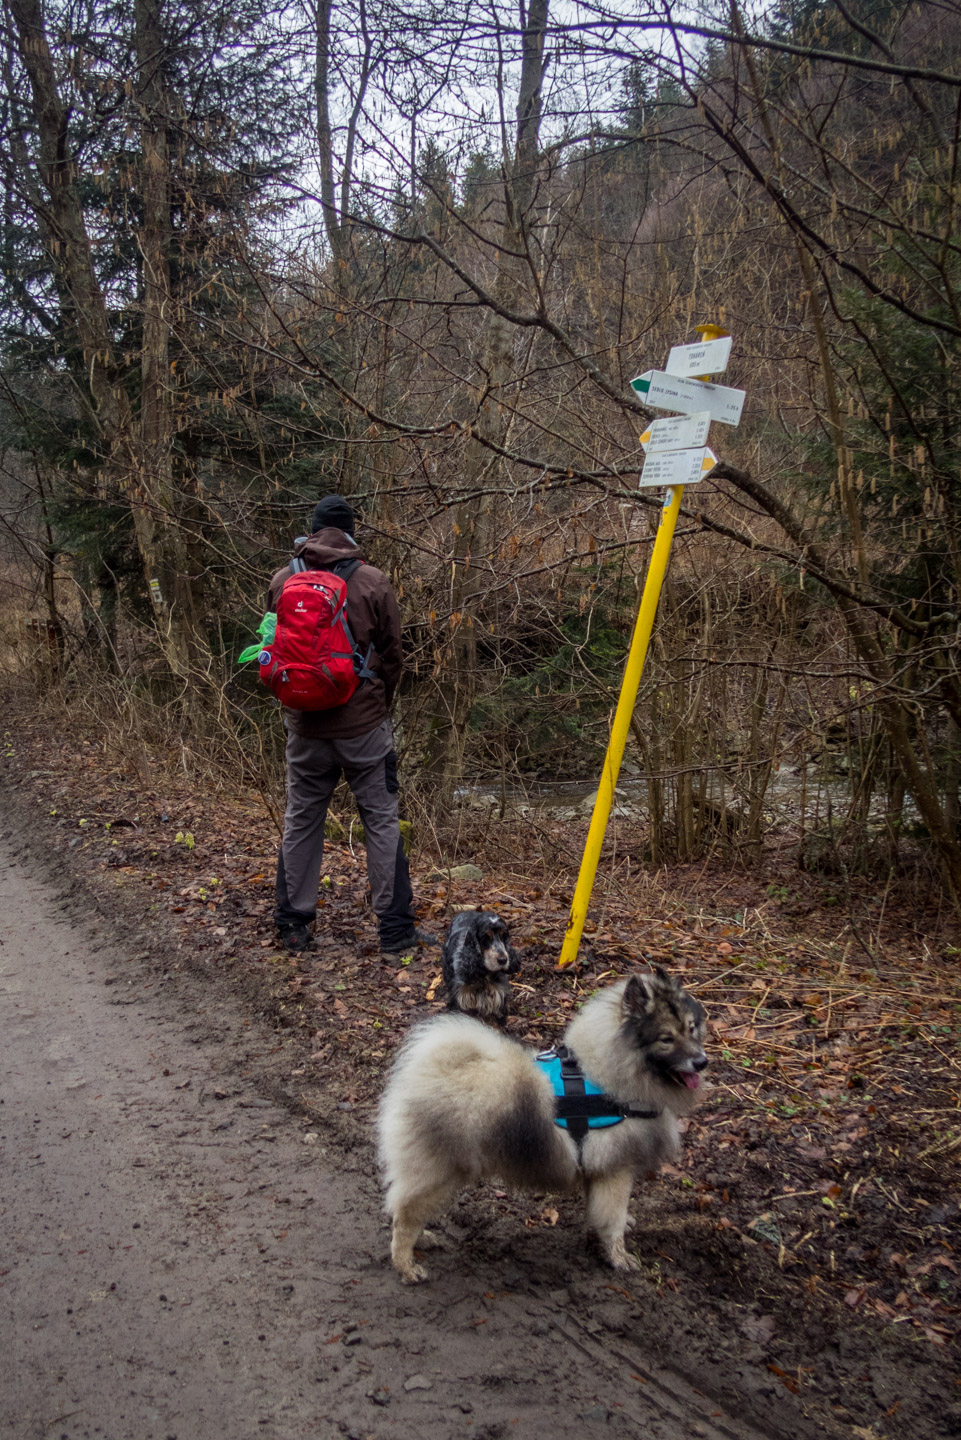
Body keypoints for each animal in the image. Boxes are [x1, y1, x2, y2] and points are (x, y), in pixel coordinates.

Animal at [374, 967, 705, 1284]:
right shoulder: (615, 1171)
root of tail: (424, 1073)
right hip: (440, 1174)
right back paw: (407, 1266)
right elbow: (612, 1221)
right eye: (666, 1039)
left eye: (691, 1029)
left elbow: (605, 1212)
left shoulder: (598, 1170)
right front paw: (619, 1257)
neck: (610, 1078)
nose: (702, 1061)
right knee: (404, 1217)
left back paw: (423, 1240)